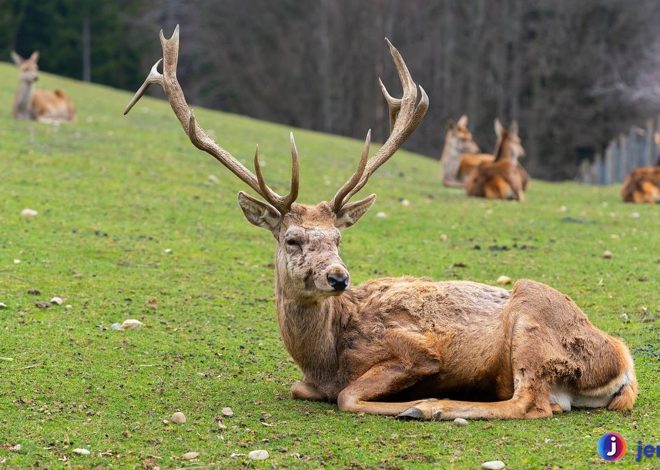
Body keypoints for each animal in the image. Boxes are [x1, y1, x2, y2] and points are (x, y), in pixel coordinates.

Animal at [124, 27, 636, 420]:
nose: (338, 277)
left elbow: (349, 395)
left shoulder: (417, 349)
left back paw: (430, 407)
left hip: (532, 319)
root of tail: (623, 362)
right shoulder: (309, 380)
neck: (325, 356)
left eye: (338, 237)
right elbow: (300, 388)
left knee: (531, 403)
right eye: (292, 239)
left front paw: (410, 401)